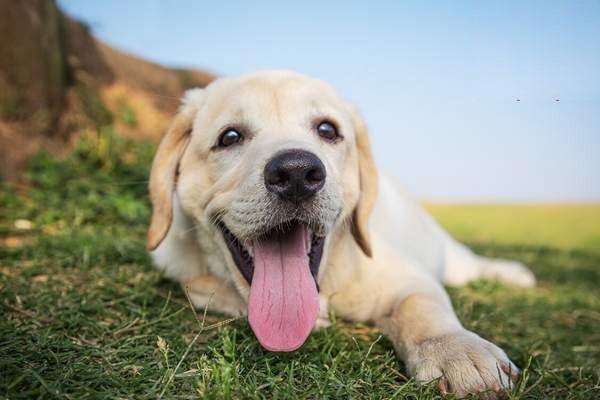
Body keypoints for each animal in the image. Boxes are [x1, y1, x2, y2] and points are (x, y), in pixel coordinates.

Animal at [148, 70, 536, 398]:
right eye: (229, 137)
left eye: (327, 130)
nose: (296, 173)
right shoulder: (180, 270)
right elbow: (205, 289)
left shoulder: (407, 276)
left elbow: (424, 307)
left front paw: (457, 350)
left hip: (451, 258)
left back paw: (515, 274)